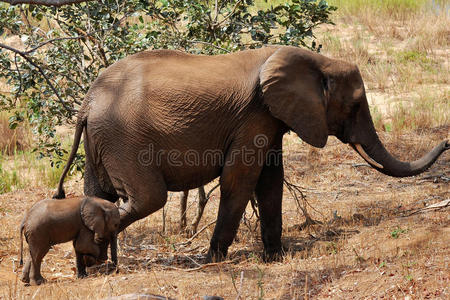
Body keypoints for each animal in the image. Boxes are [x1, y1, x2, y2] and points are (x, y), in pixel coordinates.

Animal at [53, 45, 450, 262]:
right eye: (353, 107)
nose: (447, 142)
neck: (316, 60)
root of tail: (87, 103)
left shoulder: (270, 117)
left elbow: (271, 181)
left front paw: (275, 257)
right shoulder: (255, 114)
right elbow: (241, 179)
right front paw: (213, 260)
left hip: (101, 141)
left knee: (98, 195)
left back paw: (93, 266)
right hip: (124, 138)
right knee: (147, 198)